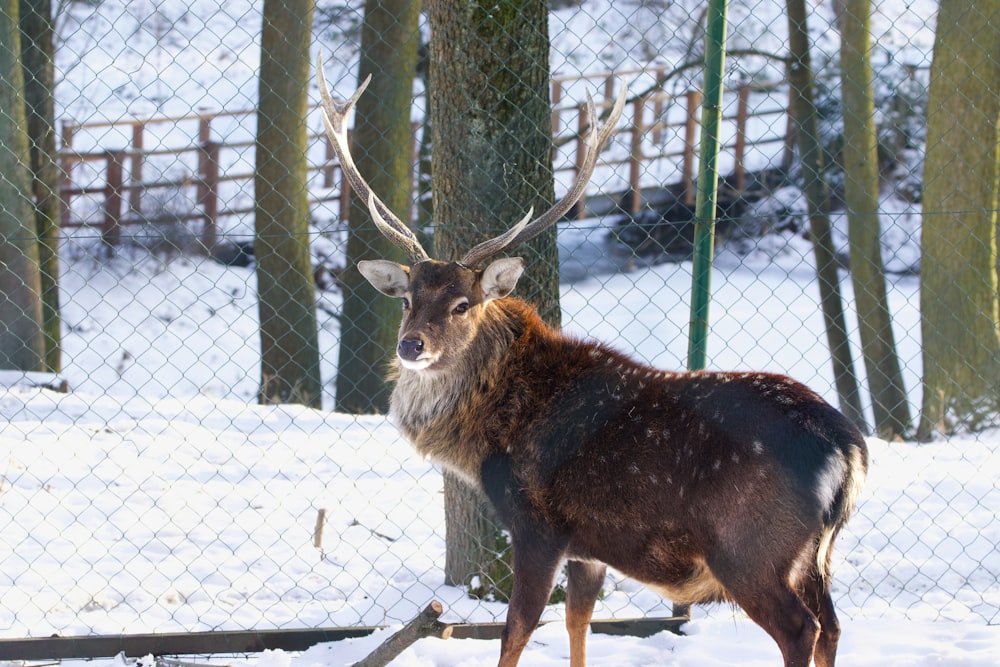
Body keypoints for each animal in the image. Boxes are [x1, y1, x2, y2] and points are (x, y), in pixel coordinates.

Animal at [320, 57, 868, 667]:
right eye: (407, 300)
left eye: (464, 304)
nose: (411, 345)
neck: (489, 438)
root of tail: (848, 450)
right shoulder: (589, 546)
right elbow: (577, 621)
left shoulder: (538, 525)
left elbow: (517, 629)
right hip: (816, 553)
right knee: (834, 624)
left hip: (748, 546)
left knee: (801, 628)